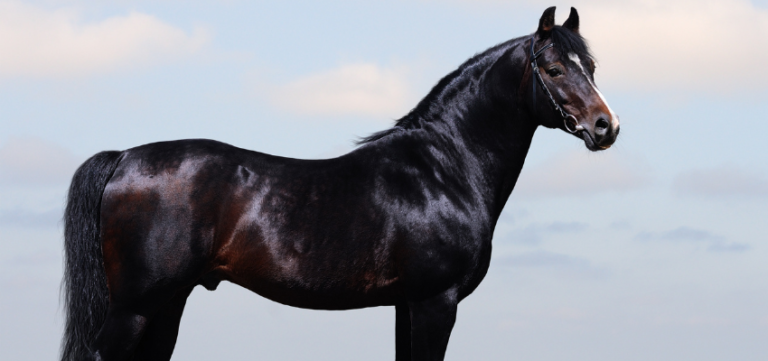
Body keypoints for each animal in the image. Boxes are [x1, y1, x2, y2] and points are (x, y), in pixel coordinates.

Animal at [63, 6, 620, 360]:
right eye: (554, 69)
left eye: (591, 66)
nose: (605, 127)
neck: (444, 170)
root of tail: (124, 158)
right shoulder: (435, 302)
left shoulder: (406, 306)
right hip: (134, 308)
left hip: (166, 305)